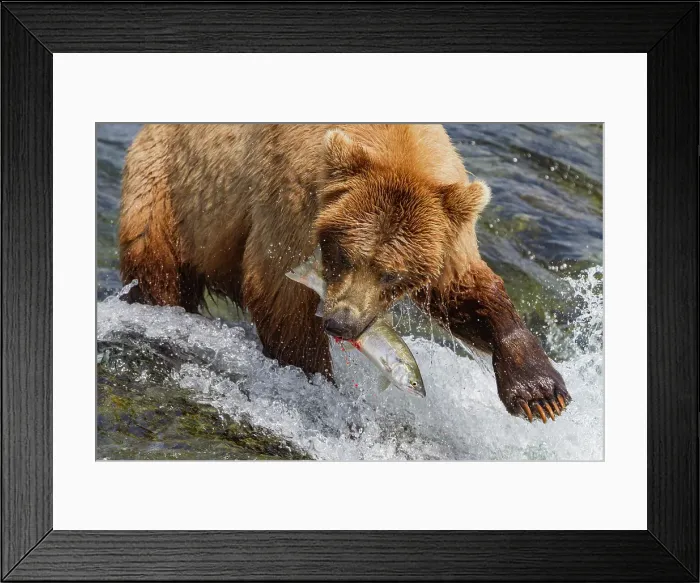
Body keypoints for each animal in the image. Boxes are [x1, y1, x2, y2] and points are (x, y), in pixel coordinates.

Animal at [119, 124, 569, 423]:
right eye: (344, 254)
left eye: (394, 275)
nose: (341, 323)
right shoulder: (295, 205)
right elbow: (280, 295)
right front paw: (317, 382)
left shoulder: (447, 233)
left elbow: (466, 291)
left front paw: (540, 393)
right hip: (169, 192)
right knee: (159, 271)